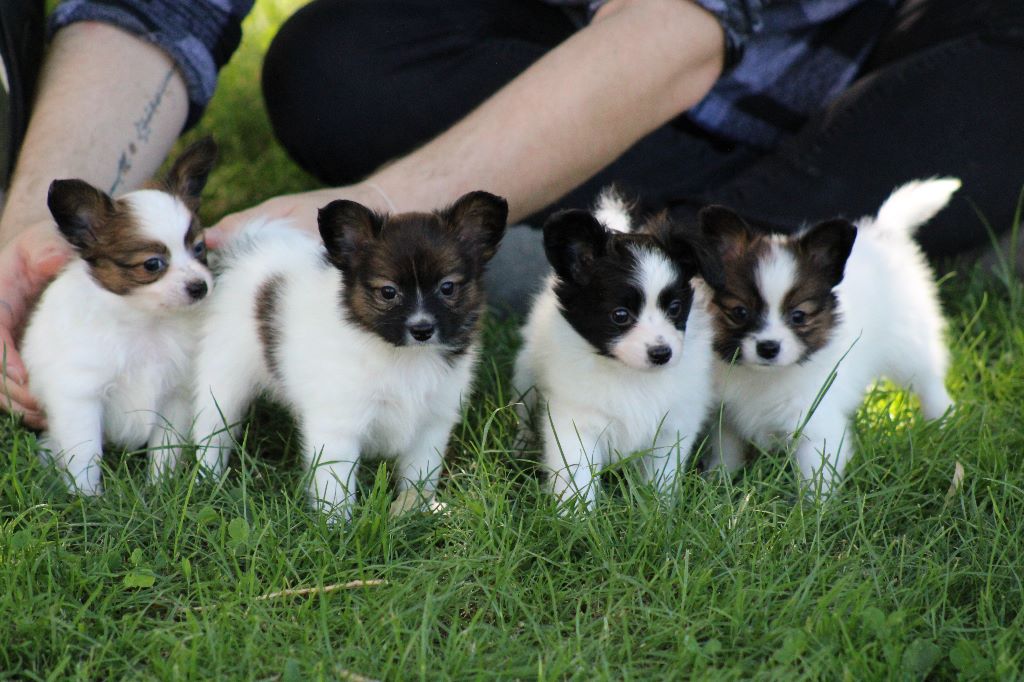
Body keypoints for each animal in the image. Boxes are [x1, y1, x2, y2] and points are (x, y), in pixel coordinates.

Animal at [23, 135, 218, 491]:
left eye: (199, 248)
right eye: (152, 264)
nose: (199, 287)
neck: (146, 323)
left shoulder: (175, 397)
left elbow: (165, 449)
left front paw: (159, 489)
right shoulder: (80, 396)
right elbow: (86, 455)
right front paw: (87, 497)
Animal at [192, 188, 507, 518]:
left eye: (447, 288)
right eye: (388, 292)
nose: (422, 329)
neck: (403, 357)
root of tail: (248, 251)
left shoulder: (432, 423)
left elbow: (419, 476)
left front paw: (415, 511)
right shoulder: (338, 426)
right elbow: (335, 486)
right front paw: (336, 525)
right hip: (224, 378)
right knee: (212, 430)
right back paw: (207, 481)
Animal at [516, 188, 724, 507]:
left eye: (675, 309)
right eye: (620, 315)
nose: (662, 354)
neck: (629, 375)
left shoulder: (672, 425)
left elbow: (662, 476)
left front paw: (659, 509)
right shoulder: (576, 421)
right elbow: (577, 476)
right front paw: (576, 515)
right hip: (526, 370)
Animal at [700, 178, 954, 491]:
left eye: (799, 316)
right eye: (740, 312)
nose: (768, 348)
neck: (765, 377)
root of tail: (883, 233)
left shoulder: (818, 427)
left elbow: (816, 479)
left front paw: (813, 505)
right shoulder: (728, 420)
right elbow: (726, 454)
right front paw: (717, 484)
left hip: (909, 343)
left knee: (927, 380)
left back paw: (942, 420)